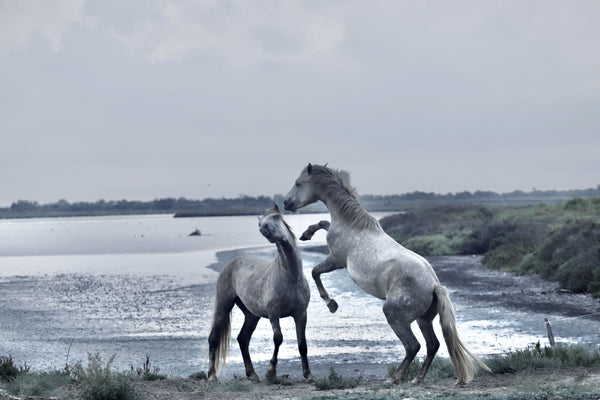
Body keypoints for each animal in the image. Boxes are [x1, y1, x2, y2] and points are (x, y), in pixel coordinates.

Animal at [207, 205, 314, 382]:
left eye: (276, 217)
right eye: (260, 223)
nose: (264, 228)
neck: (291, 276)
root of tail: (232, 263)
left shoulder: (301, 314)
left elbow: (302, 344)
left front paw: (308, 374)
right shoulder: (273, 314)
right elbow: (278, 338)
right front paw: (271, 372)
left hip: (251, 315)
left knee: (243, 339)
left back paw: (252, 374)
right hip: (224, 305)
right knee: (214, 338)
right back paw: (212, 376)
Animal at [284, 162, 490, 384]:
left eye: (298, 183)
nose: (286, 203)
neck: (352, 225)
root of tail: (435, 286)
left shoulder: (337, 260)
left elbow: (315, 272)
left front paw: (331, 304)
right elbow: (323, 223)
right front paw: (306, 234)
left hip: (394, 315)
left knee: (413, 345)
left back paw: (395, 378)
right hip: (423, 320)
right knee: (432, 345)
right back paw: (417, 378)